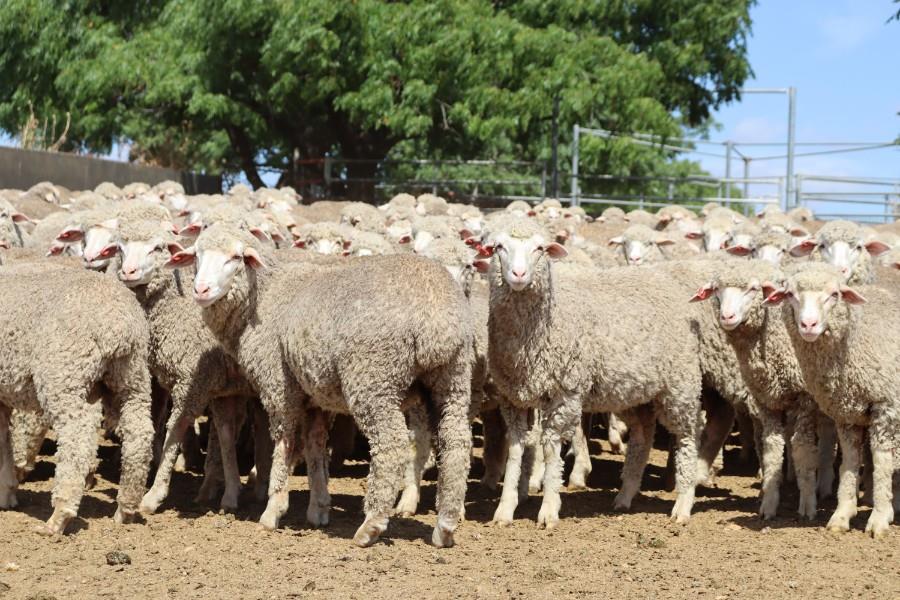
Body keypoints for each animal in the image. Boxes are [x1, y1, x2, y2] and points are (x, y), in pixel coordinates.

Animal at [0, 262, 153, 536]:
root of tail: (118, 321)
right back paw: (126, 508)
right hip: (130, 377)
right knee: (139, 434)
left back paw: (59, 517)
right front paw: (6, 491)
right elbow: (3, 440)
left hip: (64, 373)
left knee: (76, 439)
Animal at [171, 223, 478, 548]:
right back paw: (445, 525)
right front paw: (318, 508)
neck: (263, 297)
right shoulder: (314, 395)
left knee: (391, 444)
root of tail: (435, 317)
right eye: (196, 255)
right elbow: (315, 446)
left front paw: (273, 510)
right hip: (452, 378)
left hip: (374, 377)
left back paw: (371, 525)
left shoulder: (280, 386)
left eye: (236, 257)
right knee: (456, 441)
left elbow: (285, 443)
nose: (201, 290)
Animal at [482, 218, 708, 528]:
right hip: (632, 392)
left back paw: (683, 503)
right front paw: (505, 509)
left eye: (540, 248)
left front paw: (549, 509)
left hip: (679, 384)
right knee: (642, 435)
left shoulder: (565, 392)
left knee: (688, 436)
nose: (518, 274)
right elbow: (516, 449)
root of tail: (664, 282)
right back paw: (626, 495)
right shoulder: (512, 396)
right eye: (498, 247)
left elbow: (550, 448)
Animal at [768, 264, 900, 536]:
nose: (808, 324)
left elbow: (882, 464)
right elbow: (849, 463)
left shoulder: (886, 407)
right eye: (790, 294)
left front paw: (880, 518)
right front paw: (842, 514)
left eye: (834, 294)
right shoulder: (847, 412)